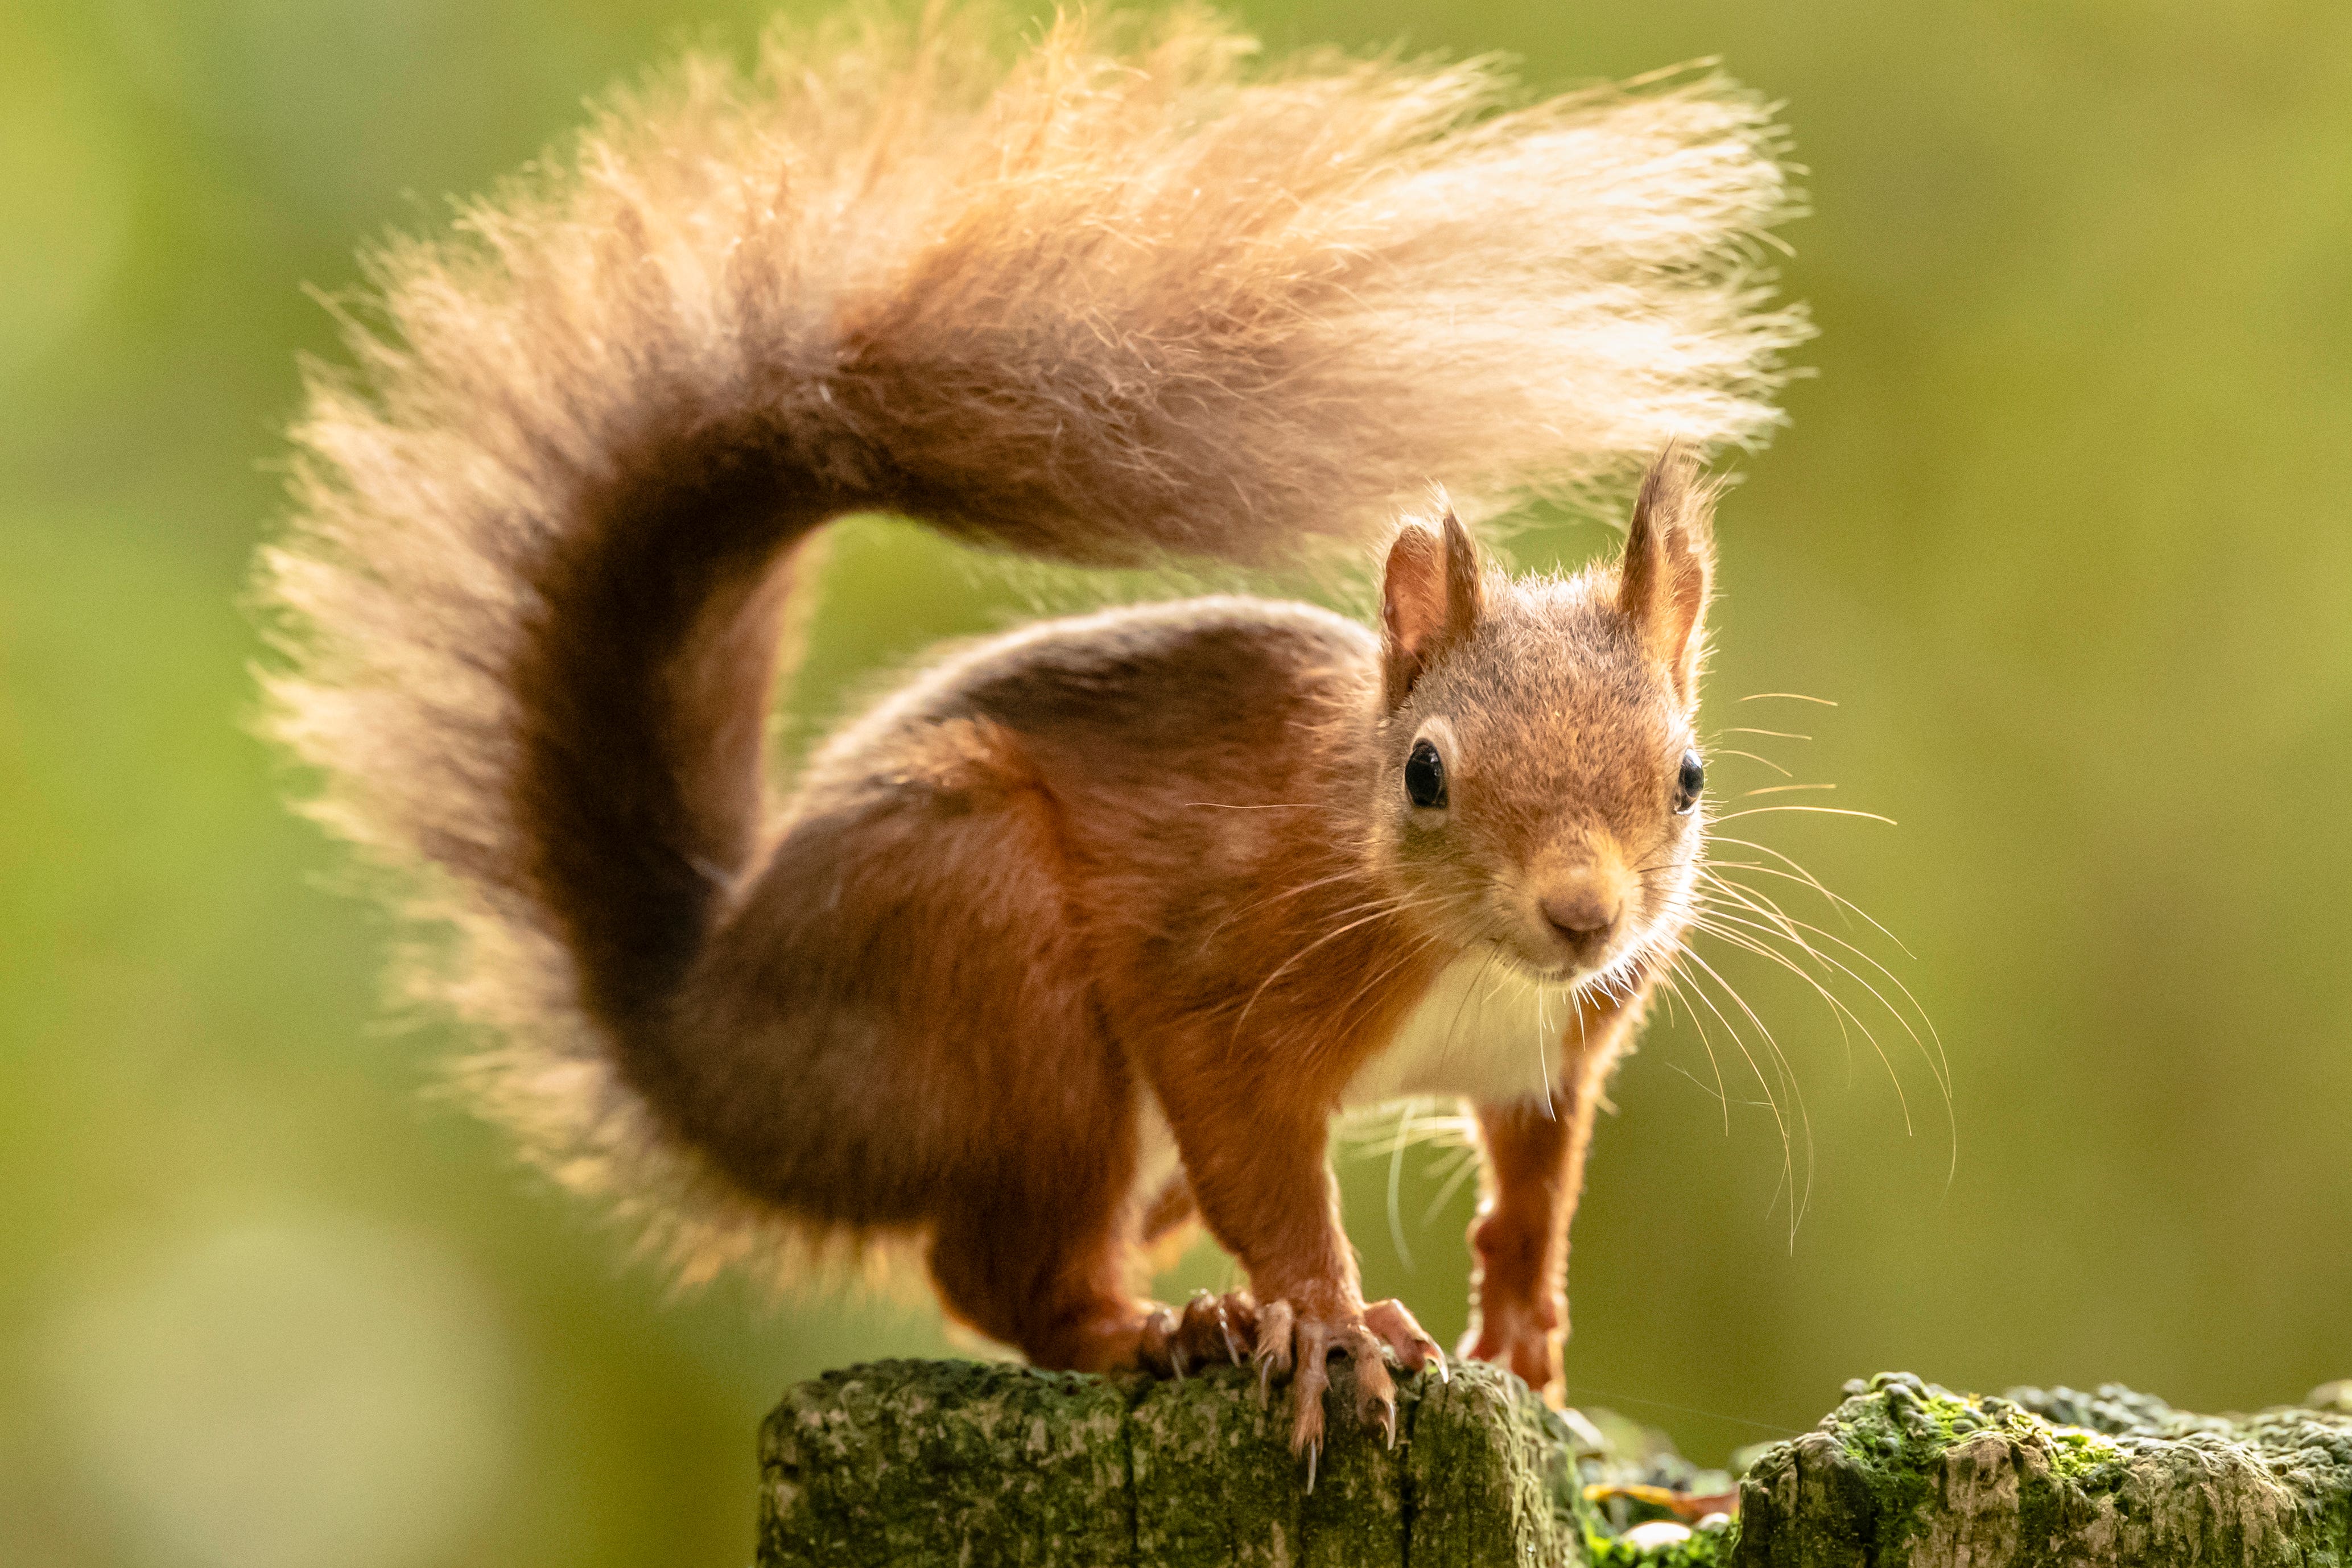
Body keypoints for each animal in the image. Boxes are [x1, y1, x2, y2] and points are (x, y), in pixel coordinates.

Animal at [257, 9, 1797, 1457]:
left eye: (1687, 773)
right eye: (1426, 773)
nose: (1582, 914)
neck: (1460, 952)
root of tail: (702, 1042)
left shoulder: (1557, 1054)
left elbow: (1532, 1193)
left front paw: (1528, 1349)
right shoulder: (1223, 977)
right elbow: (1267, 1171)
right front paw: (1327, 1322)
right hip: (993, 954)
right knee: (1001, 1276)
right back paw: (1172, 1331)